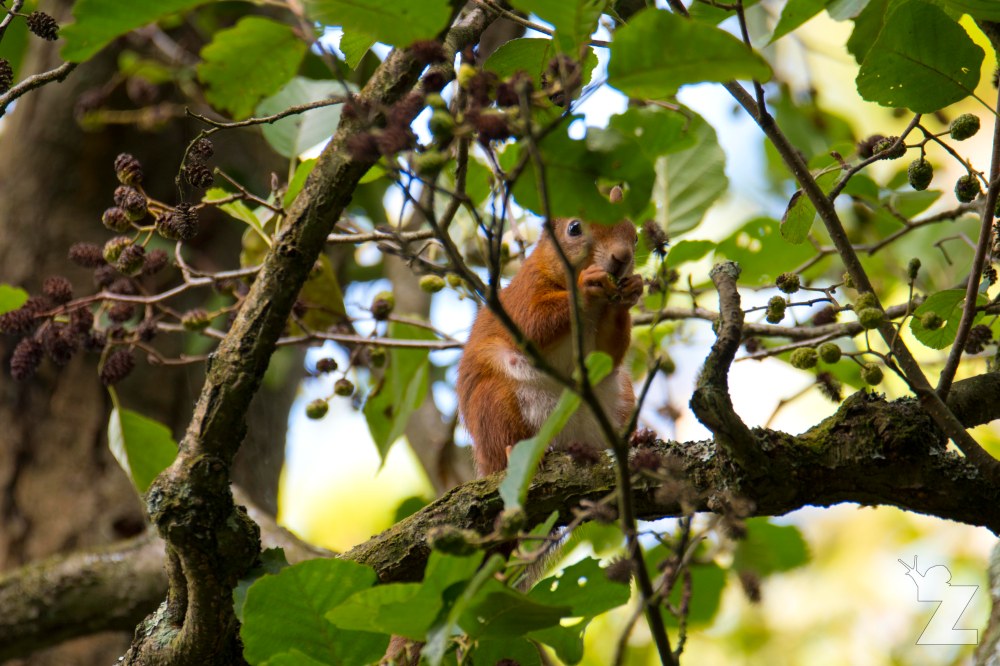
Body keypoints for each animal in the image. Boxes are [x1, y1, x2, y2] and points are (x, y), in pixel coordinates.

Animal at [457, 205, 642, 476]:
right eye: (574, 228)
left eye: (635, 236)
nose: (622, 257)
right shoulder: (523, 295)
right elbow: (534, 323)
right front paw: (586, 286)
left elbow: (608, 352)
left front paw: (632, 290)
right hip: (493, 402)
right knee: (502, 439)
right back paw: (512, 453)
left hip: (621, 398)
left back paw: (635, 438)